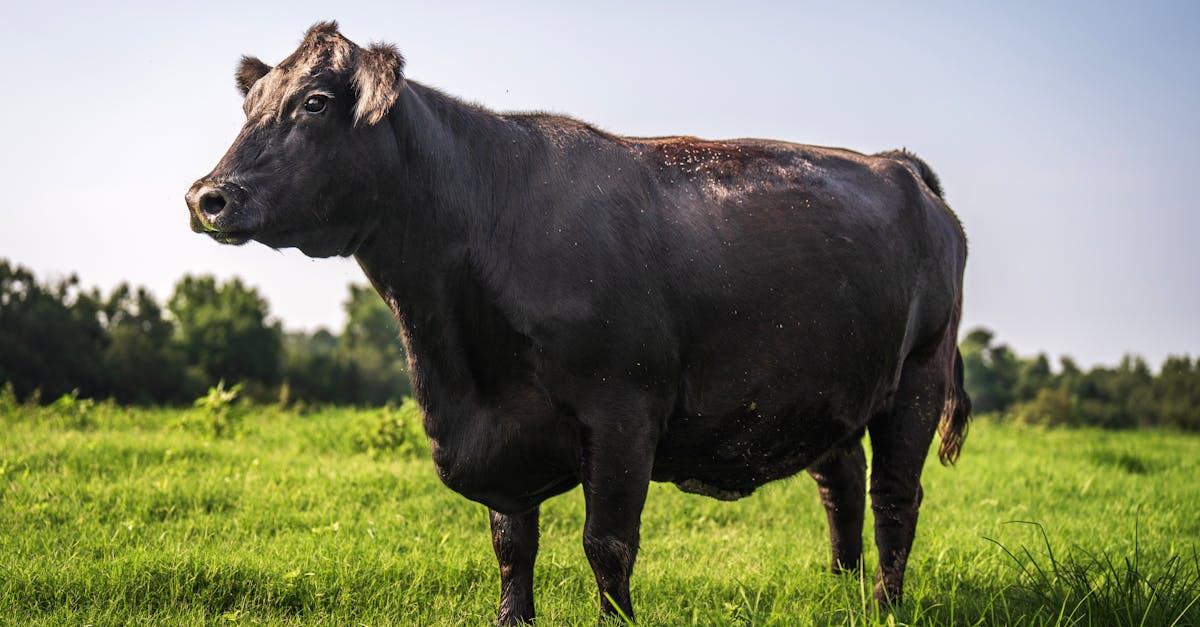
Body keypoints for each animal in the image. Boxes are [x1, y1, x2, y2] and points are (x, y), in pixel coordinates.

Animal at [185, 21, 971, 624]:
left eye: (316, 102)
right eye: (252, 103)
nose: (206, 196)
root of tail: (896, 164)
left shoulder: (622, 413)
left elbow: (607, 544)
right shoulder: (503, 435)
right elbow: (512, 545)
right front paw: (513, 617)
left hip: (918, 376)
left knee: (894, 497)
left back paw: (884, 604)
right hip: (829, 386)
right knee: (840, 482)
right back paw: (840, 588)